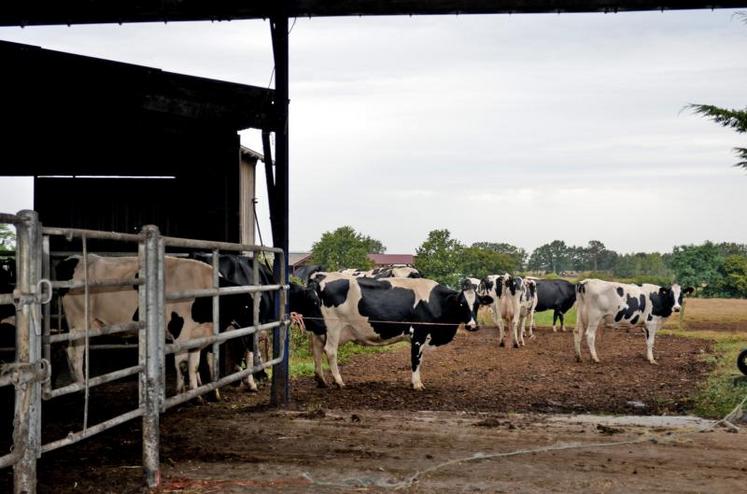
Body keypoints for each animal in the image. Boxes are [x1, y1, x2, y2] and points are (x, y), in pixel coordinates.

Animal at [290, 274, 494, 390]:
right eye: (461, 304)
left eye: (477, 304)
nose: (473, 326)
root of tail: (320, 281)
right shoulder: (418, 334)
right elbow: (415, 360)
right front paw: (417, 384)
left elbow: (420, 360)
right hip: (334, 327)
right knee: (330, 351)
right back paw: (339, 382)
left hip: (320, 328)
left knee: (316, 349)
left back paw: (321, 380)